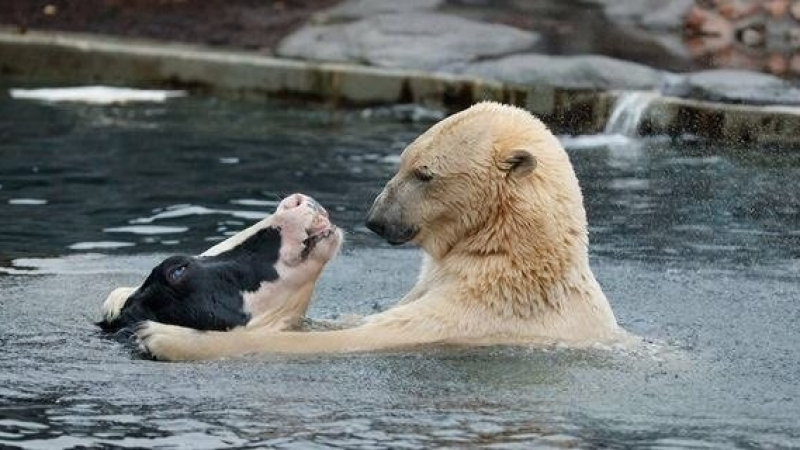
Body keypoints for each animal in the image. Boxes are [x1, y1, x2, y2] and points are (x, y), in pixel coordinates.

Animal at [136, 103, 624, 362]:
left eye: (424, 174)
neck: (511, 258)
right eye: (402, 161)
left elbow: (353, 338)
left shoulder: (475, 314)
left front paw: (161, 337)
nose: (375, 219)